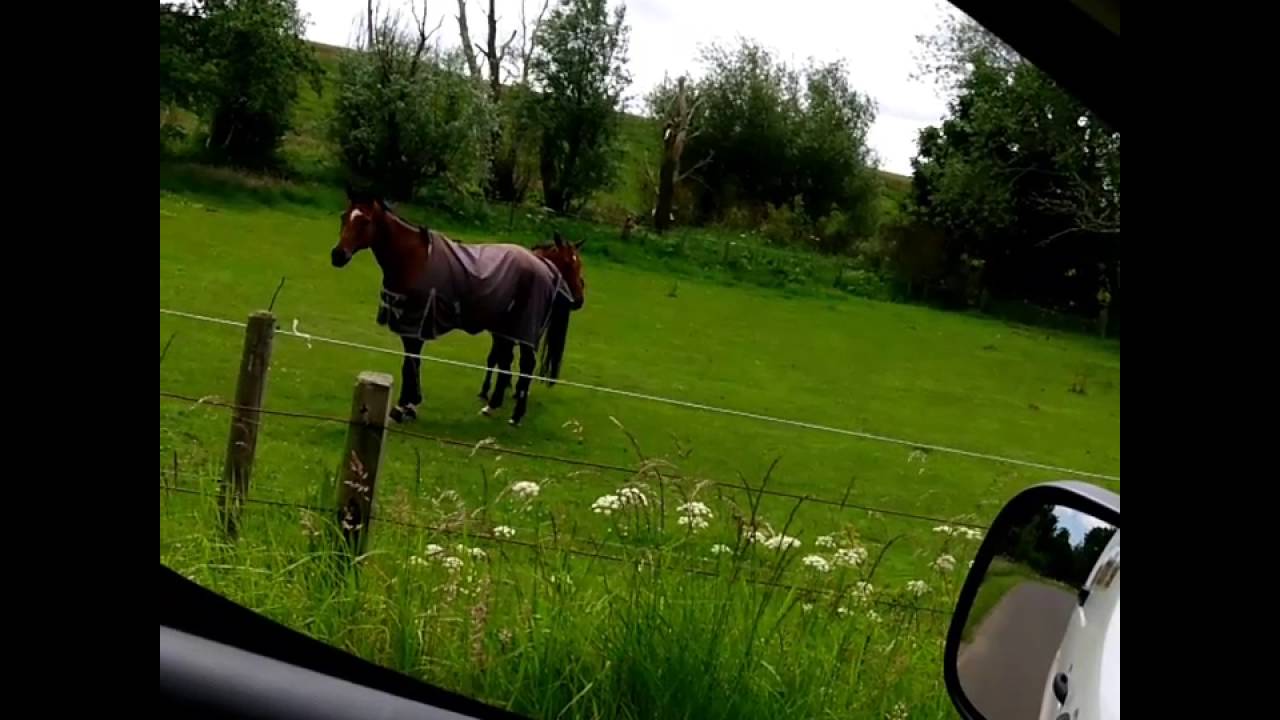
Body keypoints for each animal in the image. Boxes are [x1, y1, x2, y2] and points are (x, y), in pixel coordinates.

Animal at [330, 190, 588, 425]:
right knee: (508, 363)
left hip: (523, 330)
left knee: (526, 366)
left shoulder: (415, 326)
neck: (413, 259)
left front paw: (404, 406)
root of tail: (544, 267)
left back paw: (516, 416)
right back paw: (492, 405)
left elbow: (411, 364)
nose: (338, 255)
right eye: (344, 217)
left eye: (365, 221)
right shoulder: (410, 326)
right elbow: (412, 363)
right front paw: (410, 405)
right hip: (507, 329)